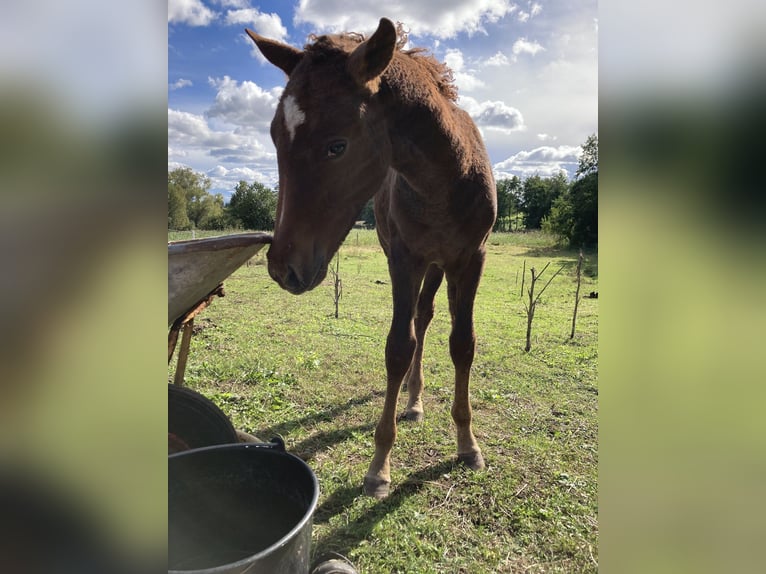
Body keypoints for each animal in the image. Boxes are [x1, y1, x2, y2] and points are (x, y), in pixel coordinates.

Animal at [248, 15, 498, 498]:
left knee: (430, 317)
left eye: (337, 145)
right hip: (425, 265)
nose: (282, 268)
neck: (446, 179)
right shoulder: (403, 258)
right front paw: (380, 467)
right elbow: (400, 347)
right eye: (274, 136)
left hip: (441, 266)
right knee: (421, 319)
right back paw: (413, 402)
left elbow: (463, 344)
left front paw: (468, 445)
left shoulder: (471, 259)